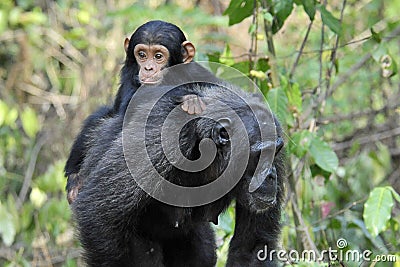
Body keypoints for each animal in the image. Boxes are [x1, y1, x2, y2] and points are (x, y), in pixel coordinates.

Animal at [65, 20, 206, 205]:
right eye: (142, 54)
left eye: (158, 56)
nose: (148, 68)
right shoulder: (129, 76)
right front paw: (189, 98)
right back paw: (75, 179)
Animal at [71, 80, 284, 266]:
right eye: (260, 154)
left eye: (275, 151)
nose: (270, 175)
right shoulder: (163, 134)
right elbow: (98, 211)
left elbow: (251, 247)